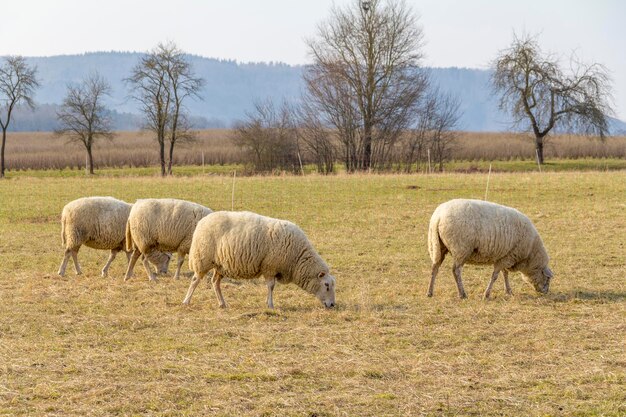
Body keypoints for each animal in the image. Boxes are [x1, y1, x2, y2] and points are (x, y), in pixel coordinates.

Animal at [180, 210, 336, 308]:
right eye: (326, 285)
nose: (332, 305)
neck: (297, 257)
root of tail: (202, 222)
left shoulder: (271, 268)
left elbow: (271, 286)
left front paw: (269, 303)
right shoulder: (270, 266)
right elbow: (271, 286)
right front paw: (270, 305)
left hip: (220, 265)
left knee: (215, 283)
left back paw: (222, 303)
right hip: (203, 259)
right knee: (195, 280)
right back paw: (186, 301)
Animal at [424, 199, 552, 300]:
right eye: (547, 279)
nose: (545, 292)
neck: (530, 254)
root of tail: (438, 217)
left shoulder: (504, 256)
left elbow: (504, 274)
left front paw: (508, 291)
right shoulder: (509, 256)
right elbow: (495, 276)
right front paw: (487, 294)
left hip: (437, 246)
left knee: (434, 268)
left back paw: (430, 292)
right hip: (461, 248)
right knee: (456, 271)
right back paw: (462, 294)